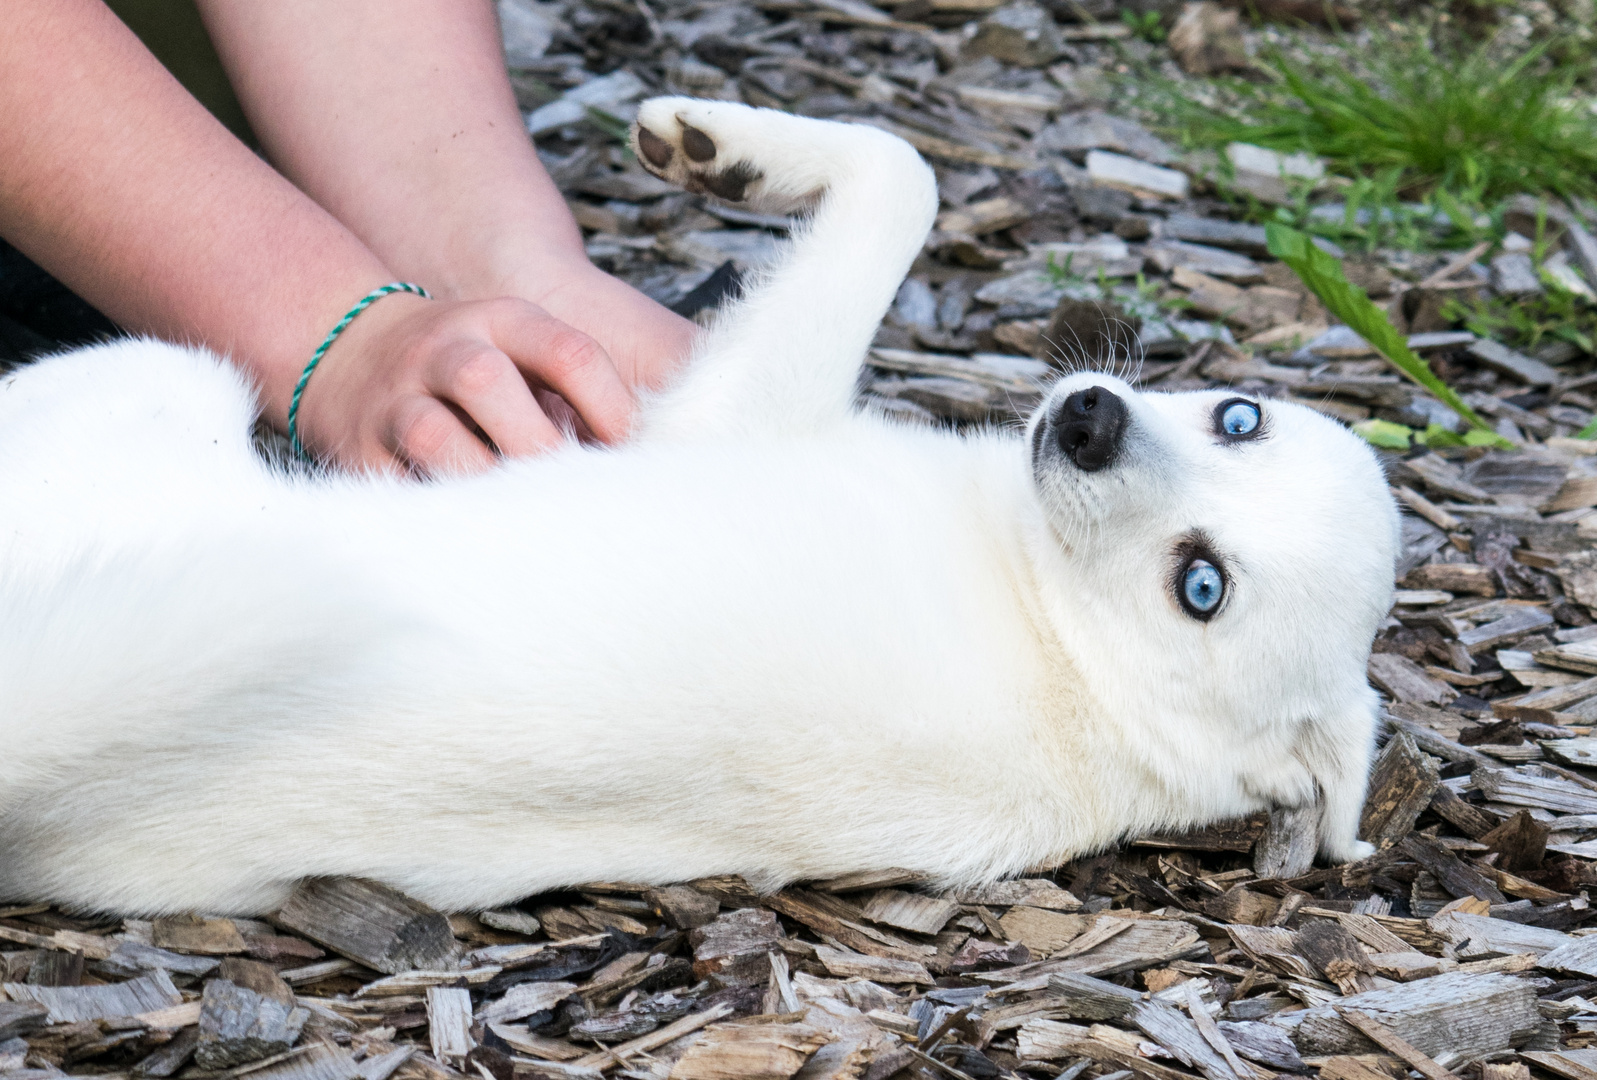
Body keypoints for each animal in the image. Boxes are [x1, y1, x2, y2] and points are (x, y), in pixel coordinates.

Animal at [0, 101, 1398, 913]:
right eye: (1240, 419)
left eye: (1200, 584)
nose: (1089, 418)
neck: (1074, 644)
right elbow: (908, 172)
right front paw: (727, 146)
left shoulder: (729, 416)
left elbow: (900, 181)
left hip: (157, 378)